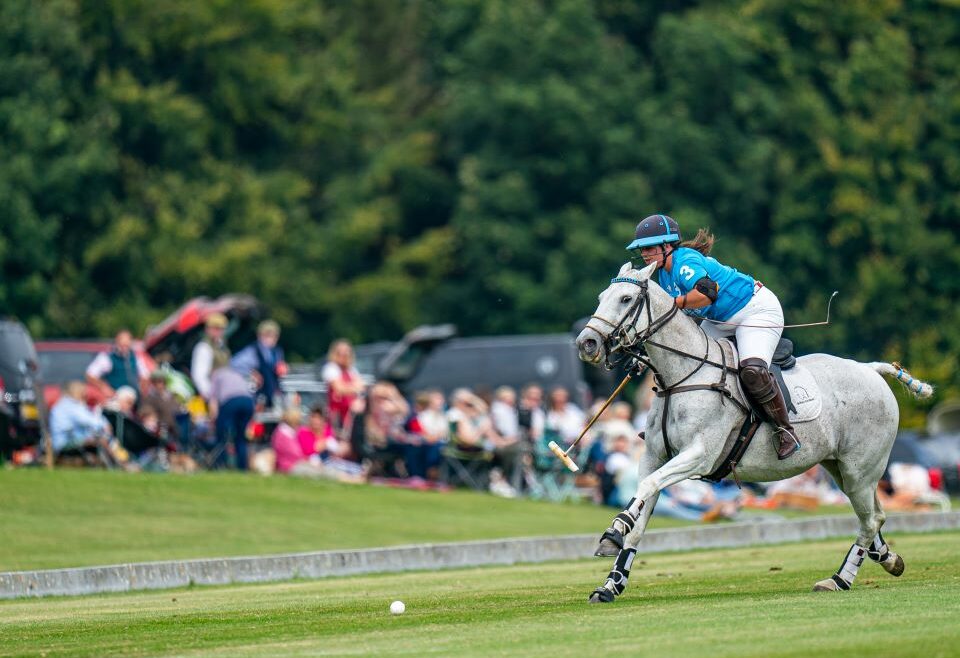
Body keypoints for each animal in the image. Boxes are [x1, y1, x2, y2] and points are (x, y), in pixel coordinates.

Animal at [572, 260, 932, 600]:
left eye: (626, 298)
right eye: (602, 298)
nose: (587, 343)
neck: (683, 376)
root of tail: (870, 369)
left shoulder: (698, 455)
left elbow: (645, 489)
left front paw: (613, 532)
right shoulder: (654, 456)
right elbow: (642, 507)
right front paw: (610, 583)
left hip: (862, 468)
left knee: (870, 519)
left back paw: (839, 579)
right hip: (841, 468)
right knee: (874, 515)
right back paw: (887, 559)